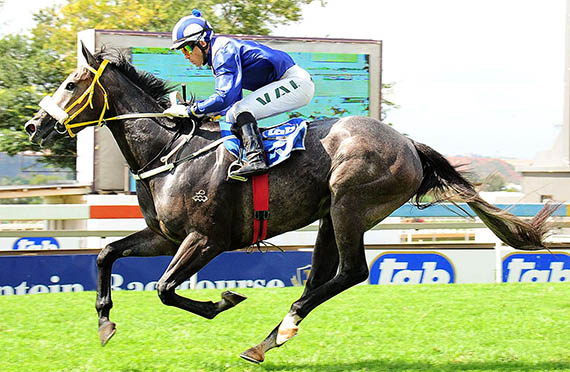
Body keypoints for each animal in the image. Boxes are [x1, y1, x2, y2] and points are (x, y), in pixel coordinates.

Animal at [24, 43, 552, 364]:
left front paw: (223, 300)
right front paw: (105, 322)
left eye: (70, 85)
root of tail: (407, 143)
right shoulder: (164, 235)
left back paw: (279, 331)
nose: (33, 126)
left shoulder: (206, 239)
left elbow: (165, 289)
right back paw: (270, 338)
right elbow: (104, 253)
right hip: (328, 216)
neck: (169, 152)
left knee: (351, 272)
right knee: (323, 276)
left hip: (350, 206)